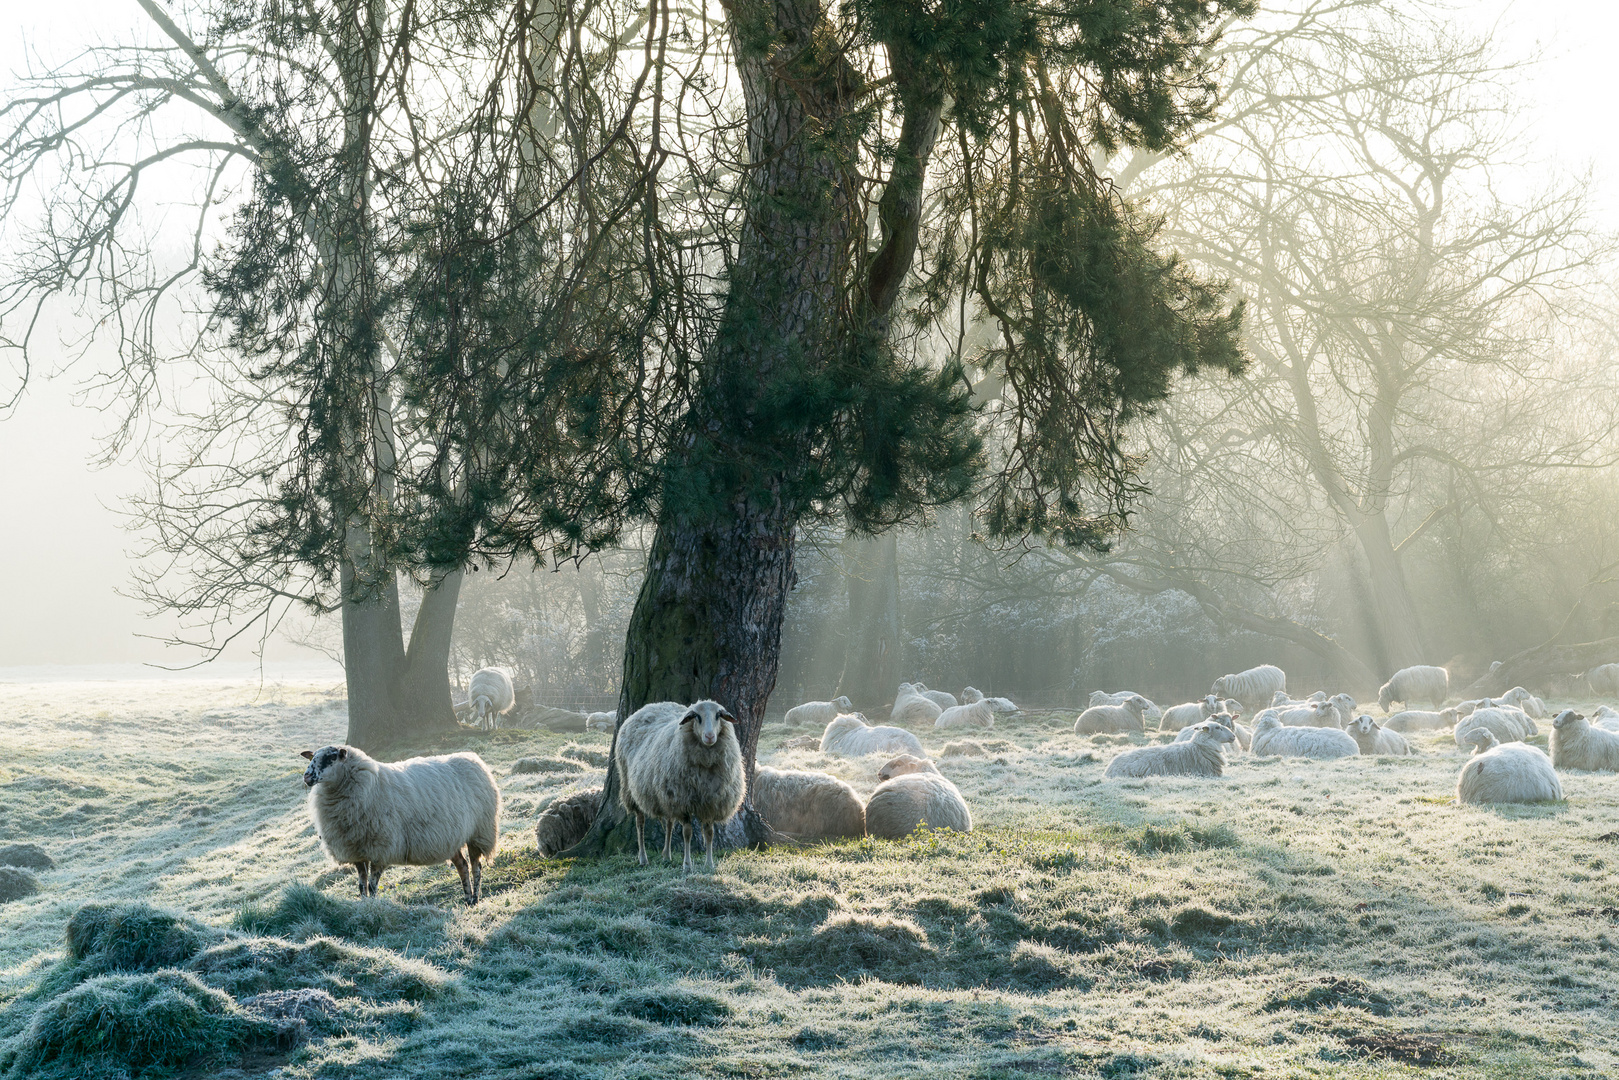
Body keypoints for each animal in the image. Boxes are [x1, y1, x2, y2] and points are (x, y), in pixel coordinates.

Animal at [297, 744, 498, 906]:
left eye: (331, 758)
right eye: (312, 757)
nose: (307, 776)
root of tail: (472, 757)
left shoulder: (380, 848)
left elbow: (372, 885)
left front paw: (373, 906)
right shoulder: (356, 851)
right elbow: (361, 885)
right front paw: (363, 905)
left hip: (479, 832)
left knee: (476, 867)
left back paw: (475, 899)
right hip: (452, 838)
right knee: (462, 866)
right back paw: (467, 899)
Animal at [615, 705, 747, 874]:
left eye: (718, 715)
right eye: (696, 716)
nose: (710, 736)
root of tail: (647, 707)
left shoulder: (710, 804)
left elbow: (709, 833)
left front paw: (709, 864)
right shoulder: (683, 803)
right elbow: (687, 833)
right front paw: (687, 865)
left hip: (667, 794)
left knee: (669, 822)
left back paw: (666, 855)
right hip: (632, 790)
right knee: (640, 822)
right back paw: (643, 858)